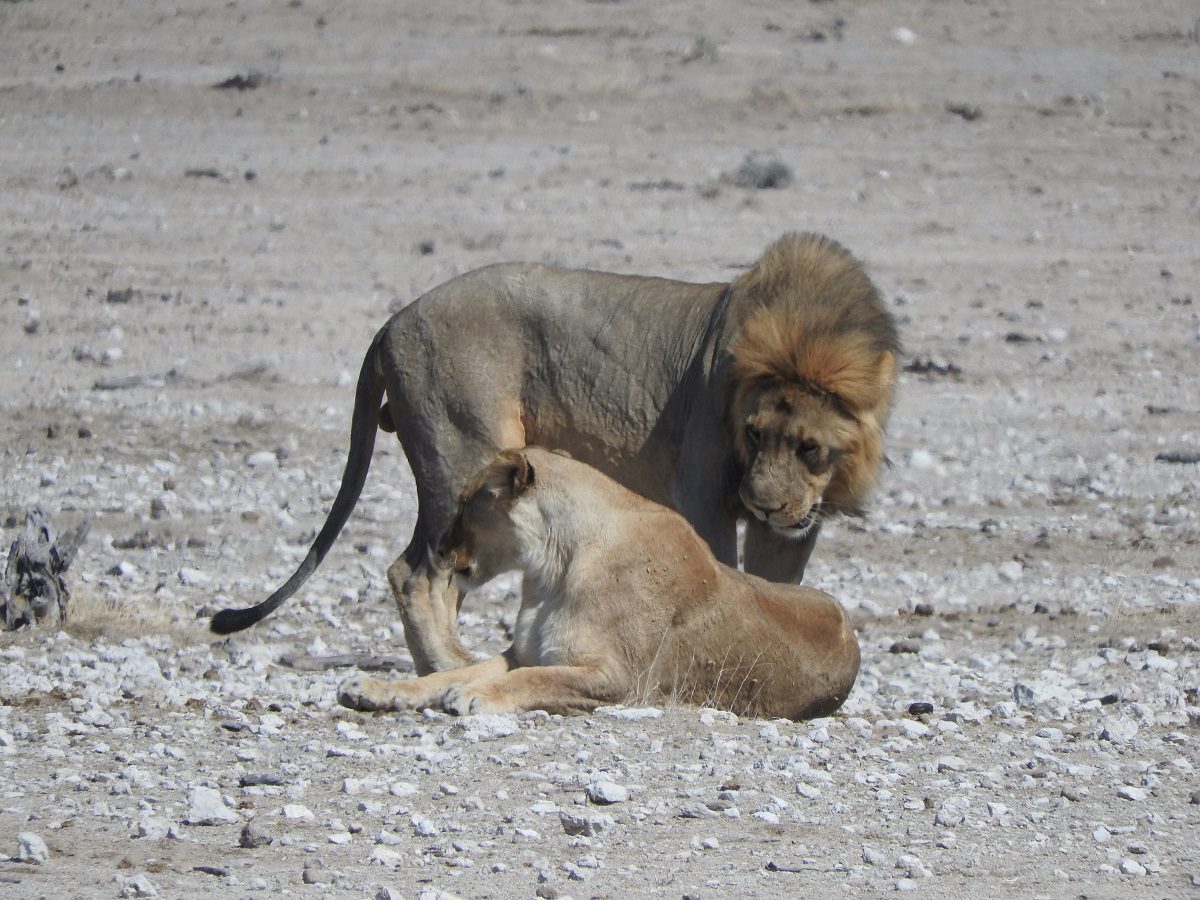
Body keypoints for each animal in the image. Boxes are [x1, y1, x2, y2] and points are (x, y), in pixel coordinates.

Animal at [211, 232, 897, 676]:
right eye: (752, 434)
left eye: (809, 447)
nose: (764, 503)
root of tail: (392, 322)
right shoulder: (702, 488)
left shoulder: (793, 526)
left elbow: (777, 581)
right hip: (462, 454)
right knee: (416, 573)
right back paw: (449, 666)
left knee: (440, 578)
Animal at [338, 451, 864, 724]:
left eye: (468, 502)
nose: (441, 550)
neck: (551, 568)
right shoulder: (522, 652)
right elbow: (443, 676)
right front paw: (376, 688)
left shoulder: (620, 677)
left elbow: (536, 680)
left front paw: (477, 695)